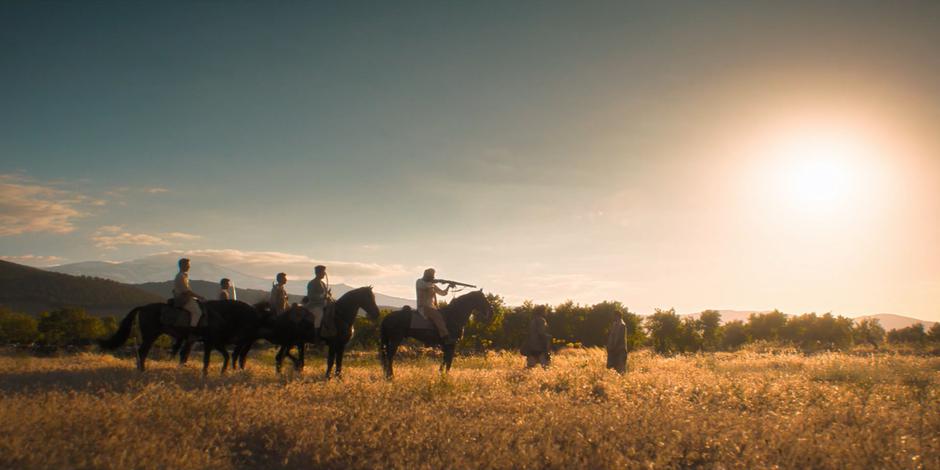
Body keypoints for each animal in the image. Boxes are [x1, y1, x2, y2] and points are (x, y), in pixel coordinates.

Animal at [98, 302, 262, 374]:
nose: (249, 339)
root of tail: (143, 307)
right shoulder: (210, 341)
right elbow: (207, 358)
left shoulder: (198, 341)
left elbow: (186, 355)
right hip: (151, 335)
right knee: (142, 352)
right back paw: (142, 370)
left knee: (142, 352)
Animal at [248, 284, 384, 376]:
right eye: (368, 297)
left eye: (374, 297)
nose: (376, 314)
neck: (340, 316)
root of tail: (282, 315)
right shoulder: (333, 344)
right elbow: (331, 361)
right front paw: (328, 377)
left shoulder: (341, 345)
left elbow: (339, 361)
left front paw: (339, 377)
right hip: (289, 341)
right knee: (281, 356)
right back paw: (289, 370)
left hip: (293, 342)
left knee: (281, 357)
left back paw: (288, 371)